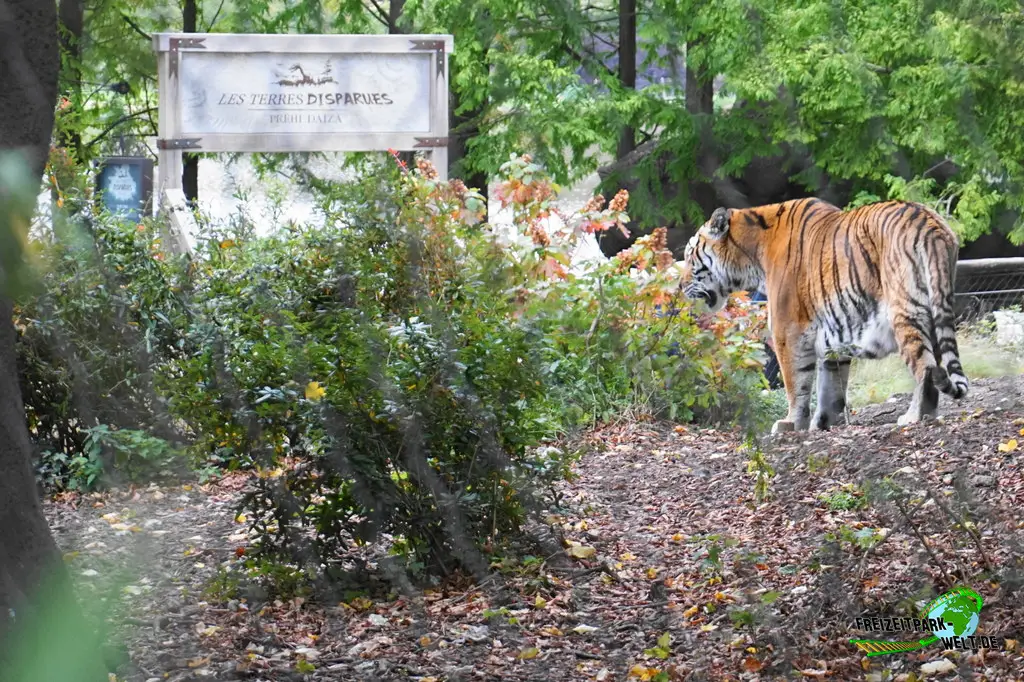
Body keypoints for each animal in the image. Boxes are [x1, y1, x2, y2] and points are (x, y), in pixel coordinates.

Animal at [678, 197, 969, 434]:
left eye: (690, 256)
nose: (680, 286)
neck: (751, 254)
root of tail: (930, 223)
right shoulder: (835, 337)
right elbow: (831, 388)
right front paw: (823, 424)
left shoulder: (787, 331)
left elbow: (796, 384)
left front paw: (790, 423)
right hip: (935, 308)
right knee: (936, 367)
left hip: (905, 313)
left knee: (924, 369)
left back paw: (913, 417)